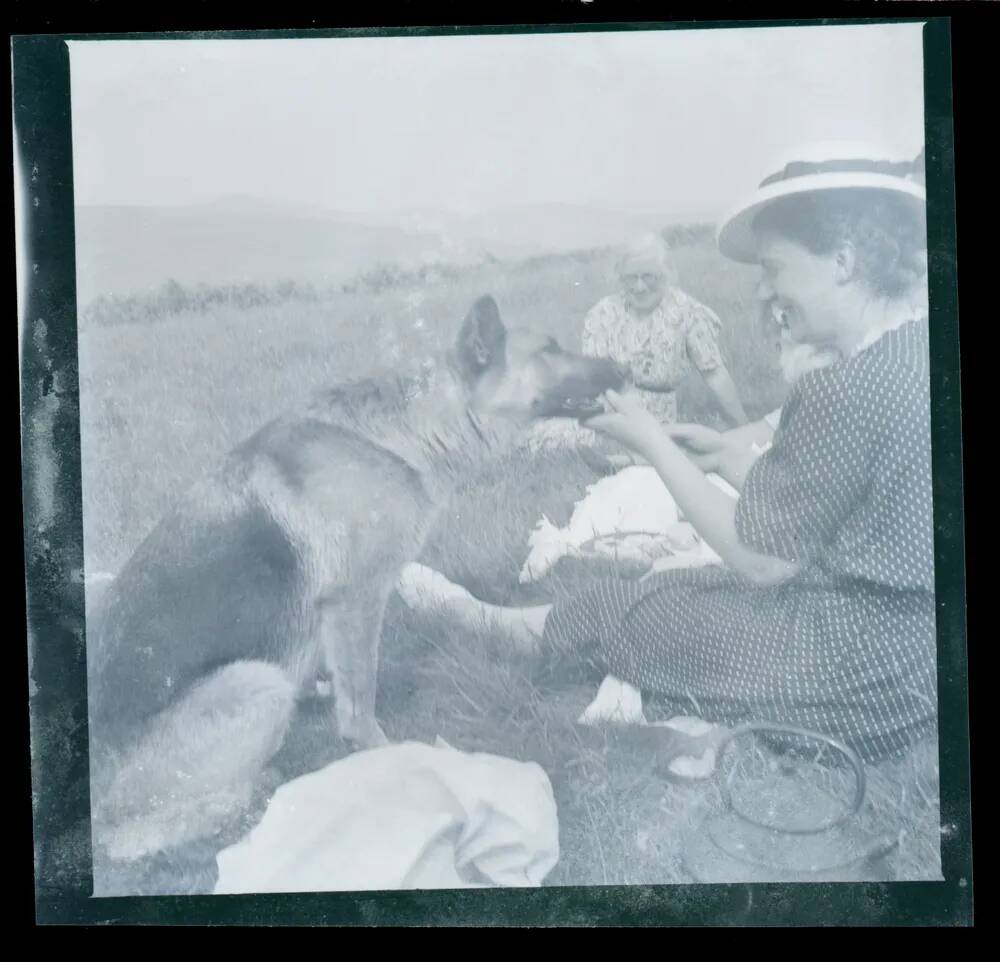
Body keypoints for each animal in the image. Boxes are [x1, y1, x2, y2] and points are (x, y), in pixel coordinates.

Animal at [92, 292, 624, 876]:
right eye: (550, 349)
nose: (623, 368)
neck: (406, 433)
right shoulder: (357, 600)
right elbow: (360, 699)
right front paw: (384, 754)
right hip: (256, 682)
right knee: (135, 836)